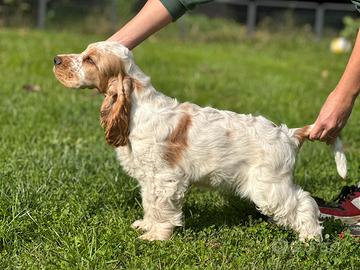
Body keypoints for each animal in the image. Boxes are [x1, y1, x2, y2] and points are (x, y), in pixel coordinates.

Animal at [52, 41, 346, 240]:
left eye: (89, 60)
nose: (55, 59)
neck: (138, 106)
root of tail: (288, 133)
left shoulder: (165, 177)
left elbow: (161, 208)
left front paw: (156, 236)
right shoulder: (148, 177)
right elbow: (149, 204)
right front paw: (146, 225)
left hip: (269, 186)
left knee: (304, 203)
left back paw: (310, 238)